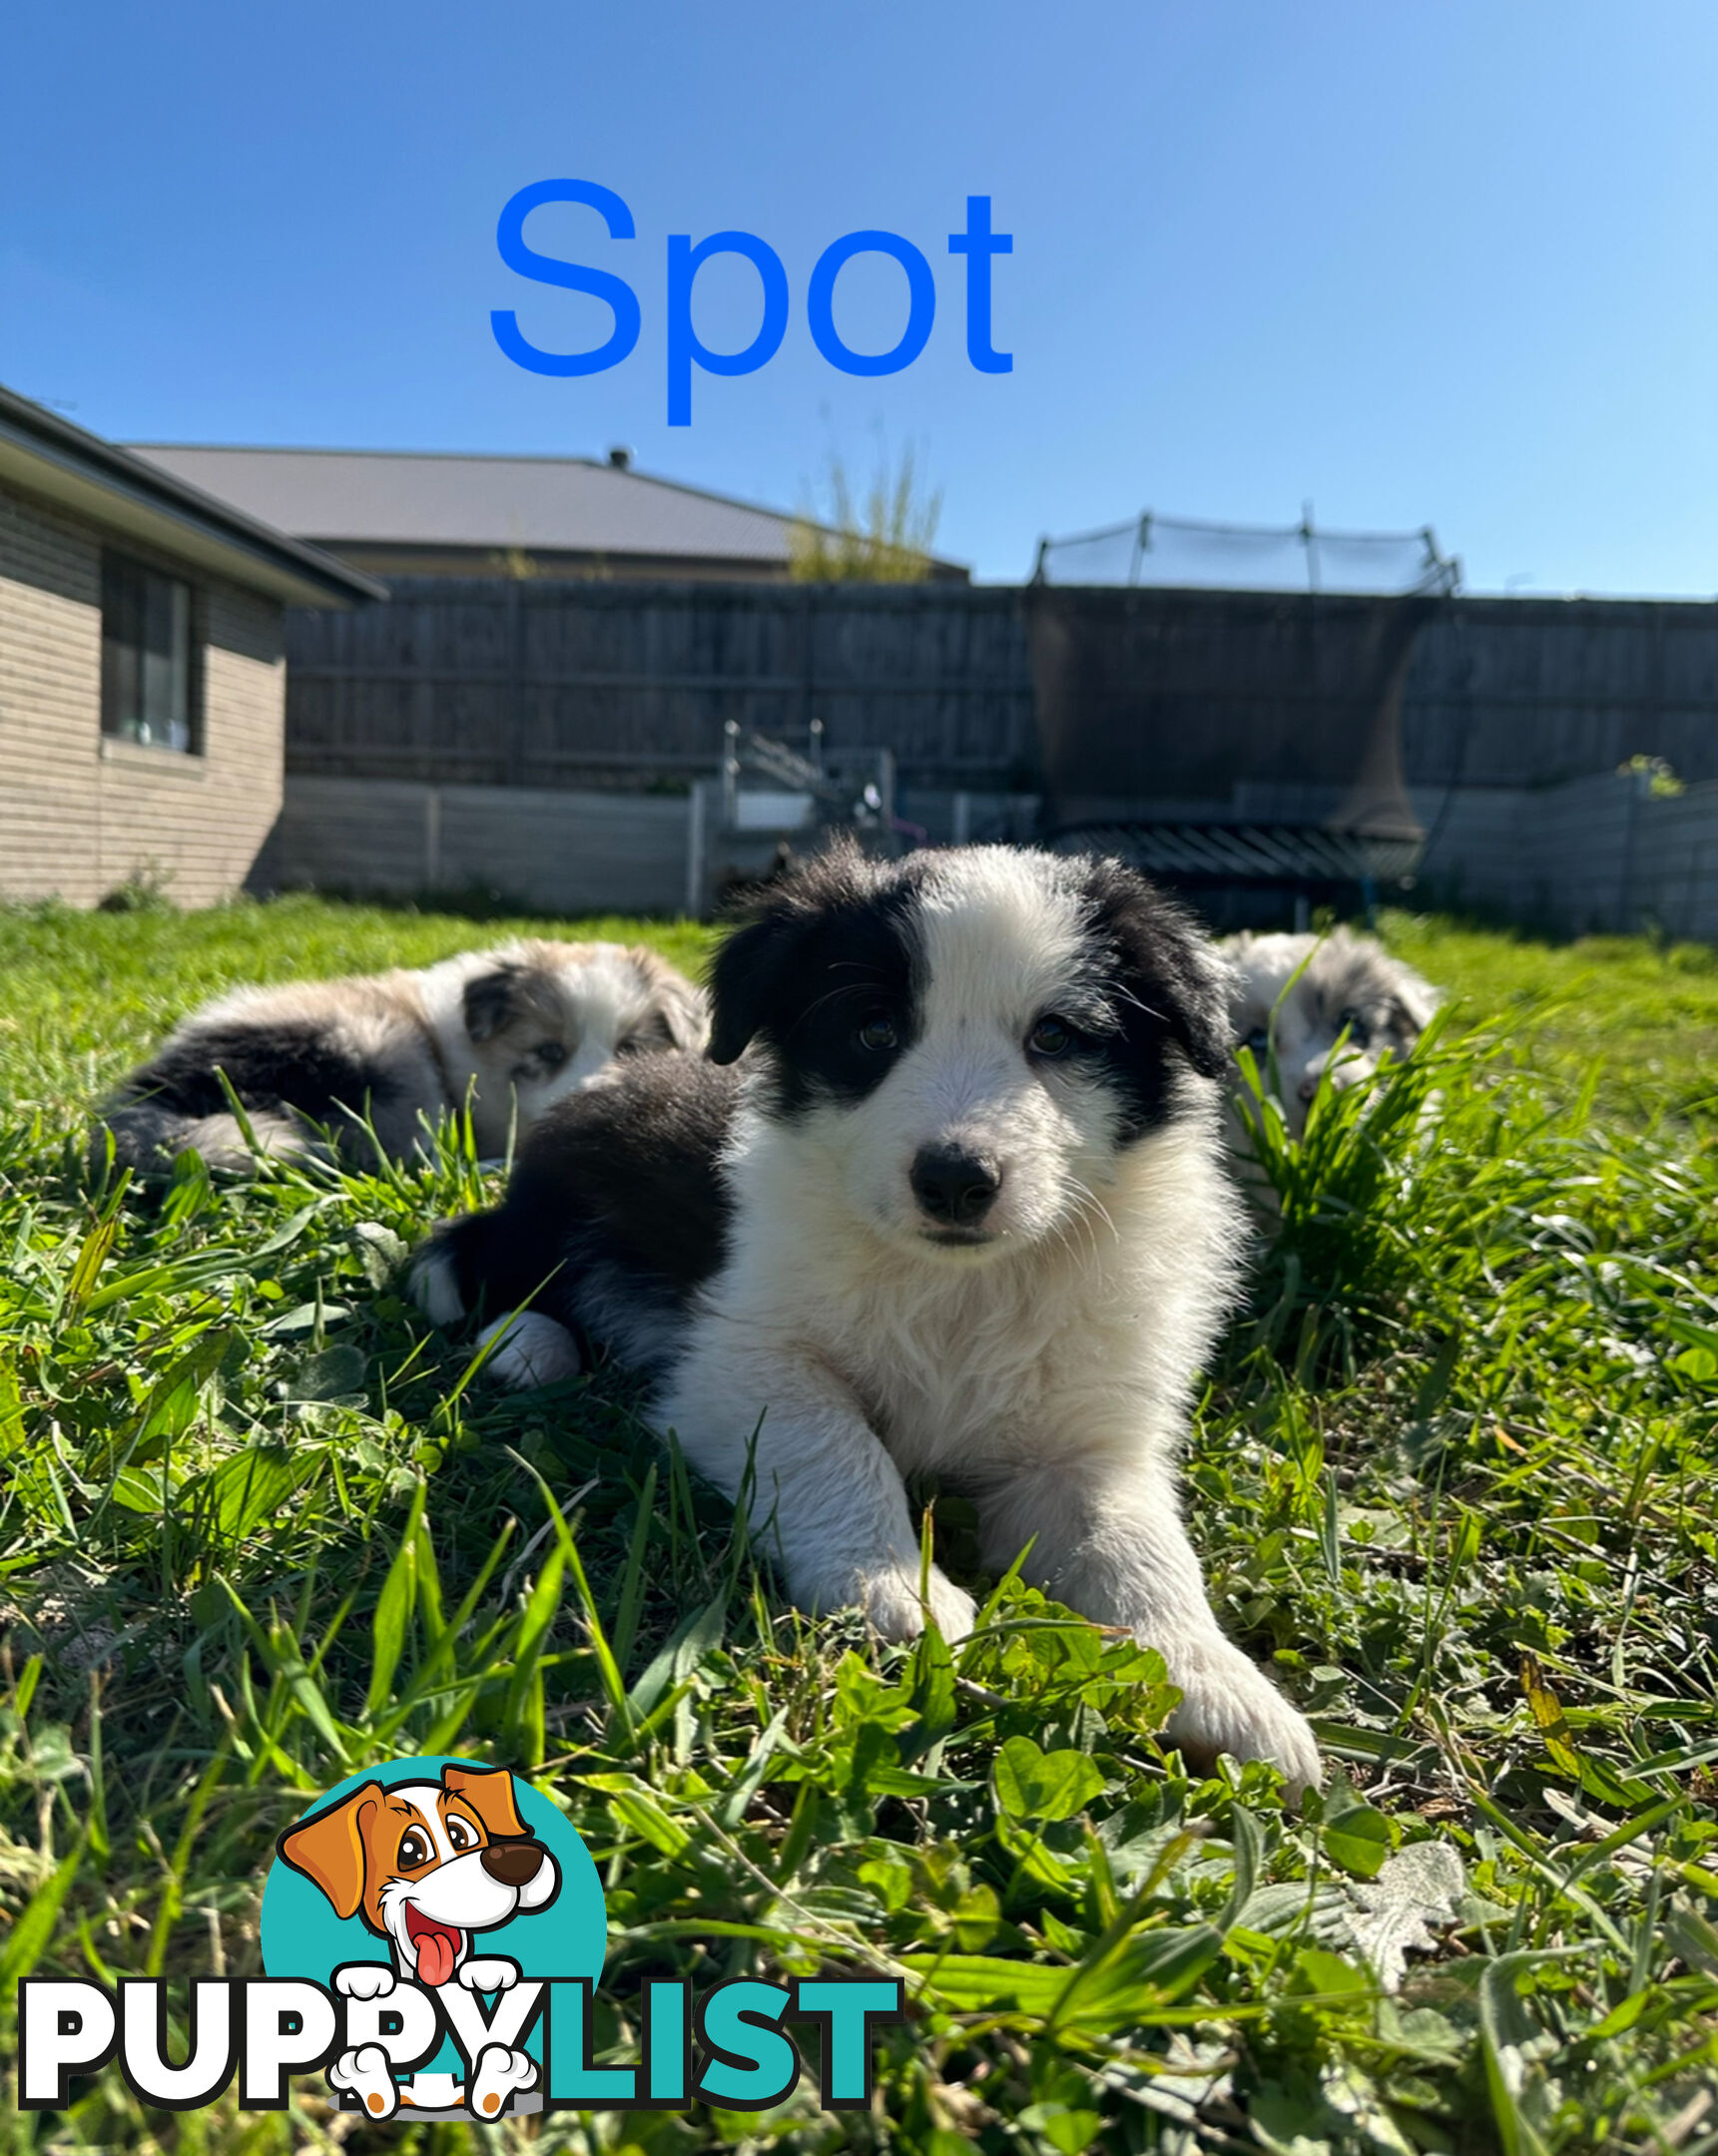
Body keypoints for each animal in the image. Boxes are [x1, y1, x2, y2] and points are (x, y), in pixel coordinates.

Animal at [417, 849, 1328, 1794]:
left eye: (1056, 1036)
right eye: (875, 1032)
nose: (955, 1179)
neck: (959, 1284)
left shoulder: (1081, 1435)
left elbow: (1139, 1546)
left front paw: (1215, 1682)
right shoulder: (743, 1359)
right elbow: (838, 1449)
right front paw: (899, 1595)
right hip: (556, 1205)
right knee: (478, 1259)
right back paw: (525, 1342)